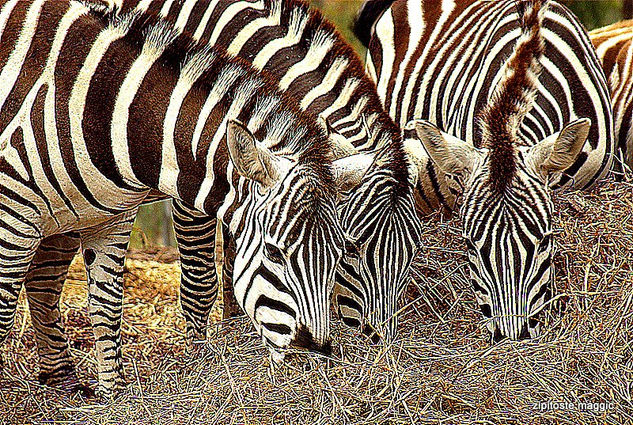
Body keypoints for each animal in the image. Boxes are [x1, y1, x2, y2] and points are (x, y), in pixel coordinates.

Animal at [21, 0, 424, 382]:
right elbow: (202, 281)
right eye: (353, 250)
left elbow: (234, 262)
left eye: (413, 252)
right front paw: (201, 358)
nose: (382, 352)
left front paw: (236, 329)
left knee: (43, 275)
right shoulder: (193, 190)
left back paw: (60, 377)